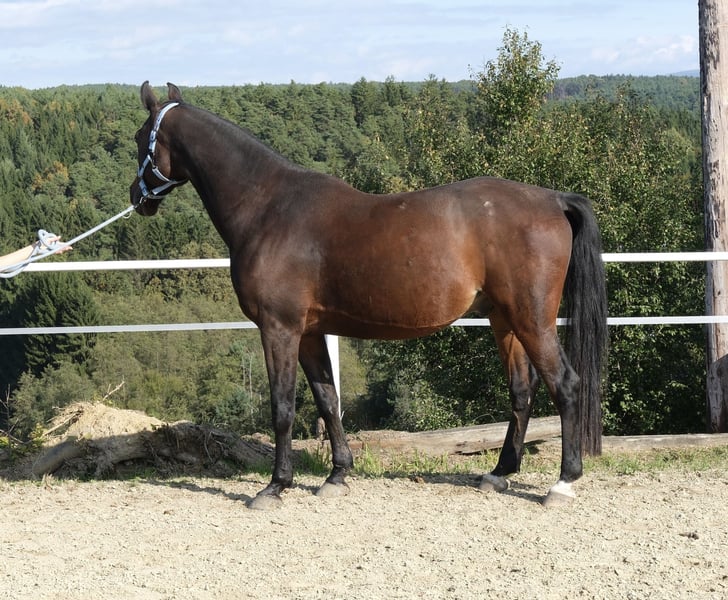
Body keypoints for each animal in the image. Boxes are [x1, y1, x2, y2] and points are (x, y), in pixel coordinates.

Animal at [130, 82, 608, 509]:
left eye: (139, 138)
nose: (138, 197)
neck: (268, 207)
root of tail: (553, 200)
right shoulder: (309, 332)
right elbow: (328, 400)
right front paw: (338, 475)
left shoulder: (279, 328)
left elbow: (282, 406)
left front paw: (275, 487)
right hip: (504, 320)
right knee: (522, 390)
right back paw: (500, 473)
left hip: (533, 321)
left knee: (565, 385)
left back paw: (563, 483)